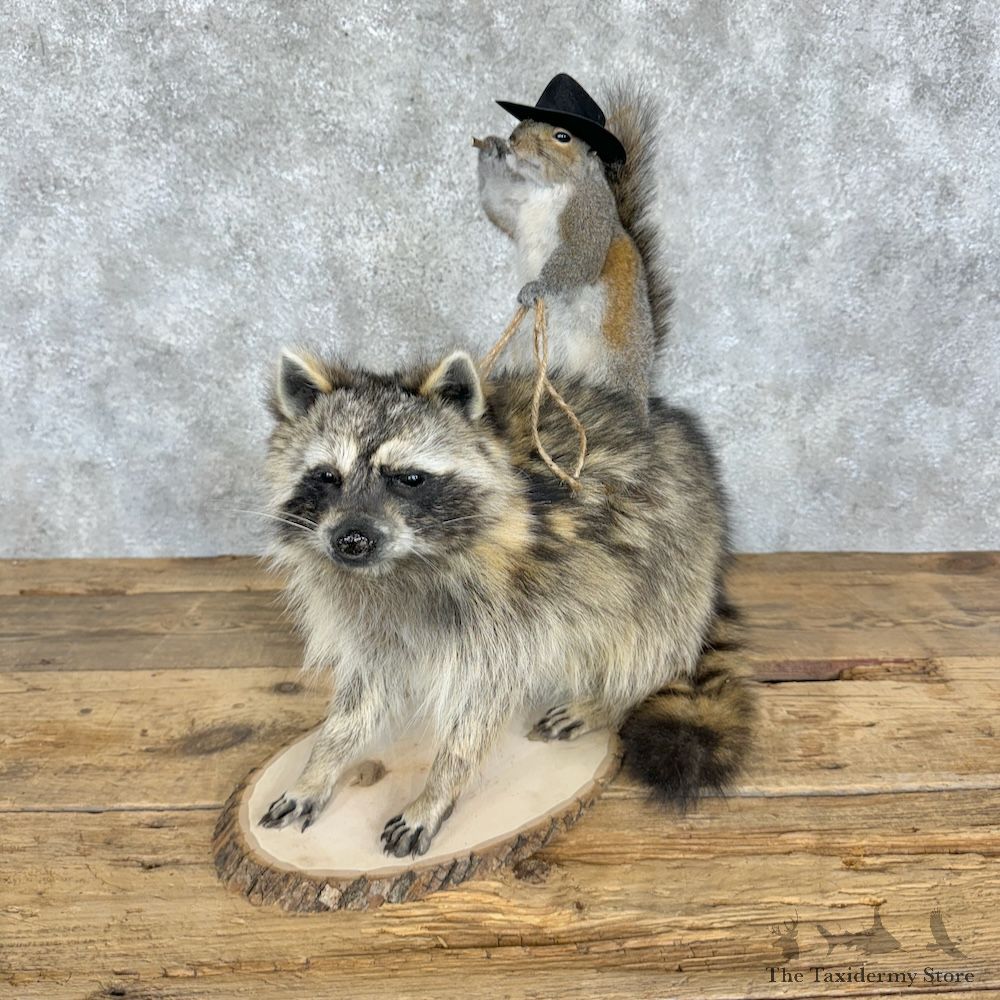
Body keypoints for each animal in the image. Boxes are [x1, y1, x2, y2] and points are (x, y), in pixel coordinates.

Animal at [259, 349, 754, 856]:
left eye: (409, 478)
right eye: (326, 476)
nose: (352, 540)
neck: (401, 566)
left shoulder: (508, 615)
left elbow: (480, 708)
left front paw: (437, 789)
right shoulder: (369, 618)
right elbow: (362, 692)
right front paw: (322, 763)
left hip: (671, 561)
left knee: (647, 643)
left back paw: (612, 699)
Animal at [475, 75, 670, 411]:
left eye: (562, 136)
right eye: (525, 120)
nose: (513, 139)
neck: (546, 189)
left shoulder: (588, 217)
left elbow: (581, 257)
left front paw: (537, 287)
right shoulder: (516, 207)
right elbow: (496, 205)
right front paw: (491, 153)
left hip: (613, 371)